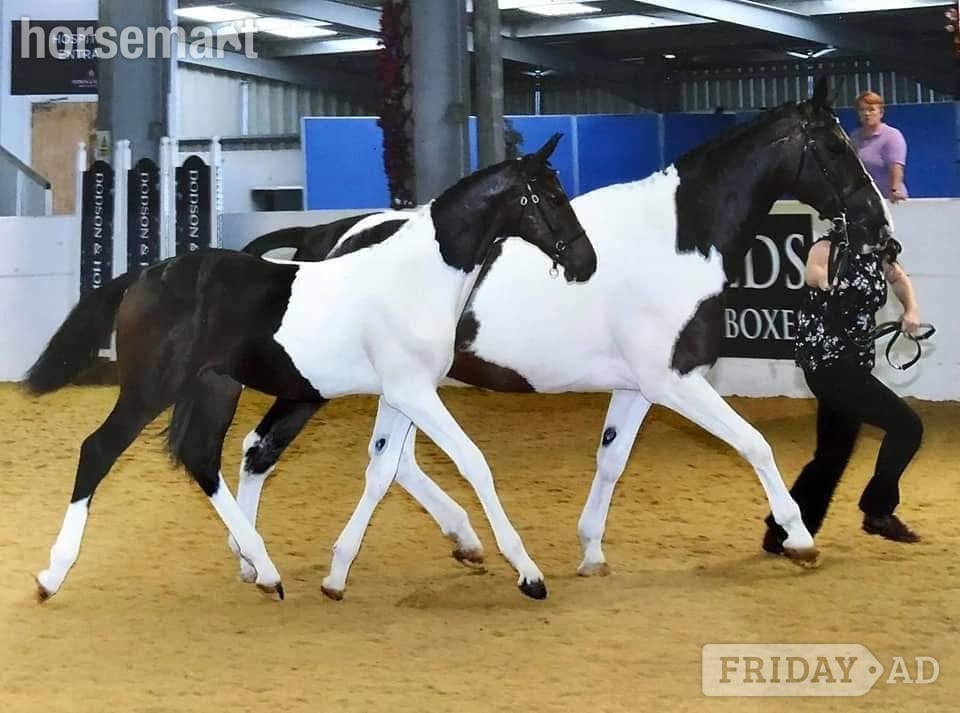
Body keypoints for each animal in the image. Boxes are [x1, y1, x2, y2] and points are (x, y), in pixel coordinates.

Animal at [24, 134, 597, 602]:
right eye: (549, 196)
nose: (585, 262)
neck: (419, 276)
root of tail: (144, 276)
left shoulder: (403, 394)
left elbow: (385, 469)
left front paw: (337, 576)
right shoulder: (414, 394)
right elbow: (473, 462)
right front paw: (528, 574)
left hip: (215, 388)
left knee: (203, 457)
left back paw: (264, 569)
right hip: (151, 387)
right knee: (100, 449)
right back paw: (52, 575)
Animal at [232, 78, 897, 597]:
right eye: (835, 147)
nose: (881, 231)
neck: (678, 242)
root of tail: (322, 239)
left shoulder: (640, 386)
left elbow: (611, 458)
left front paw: (591, 552)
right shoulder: (675, 381)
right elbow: (755, 444)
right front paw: (800, 538)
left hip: (398, 386)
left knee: (393, 464)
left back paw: (460, 541)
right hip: (321, 383)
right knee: (261, 450)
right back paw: (255, 562)